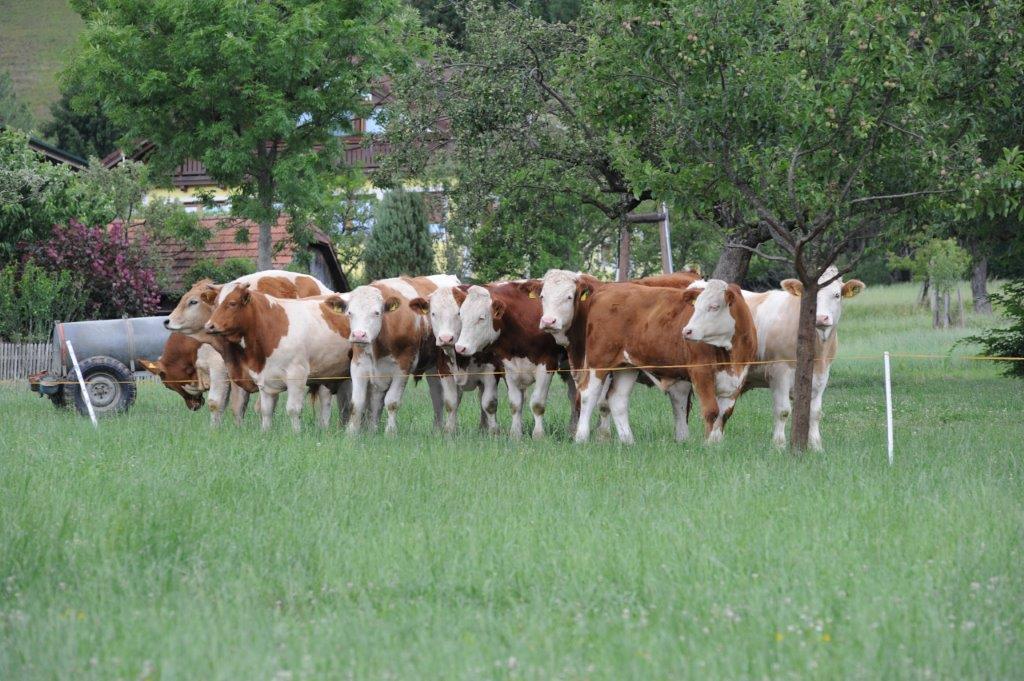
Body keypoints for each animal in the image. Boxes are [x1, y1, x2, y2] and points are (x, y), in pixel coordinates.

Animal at [204, 285, 352, 432]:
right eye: (215, 304)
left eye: (232, 303)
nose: (209, 326)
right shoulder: (265, 379)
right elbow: (266, 410)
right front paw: (265, 432)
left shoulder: (297, 374)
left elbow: (293, 409)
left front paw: (296, 433)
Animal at [338, 275, 461, 435]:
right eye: (349, 313)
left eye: (376, 313)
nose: (359, 335)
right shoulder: (358, 366)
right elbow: (357, 403)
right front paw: (352, 433)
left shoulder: (403, 368)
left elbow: (391, 402)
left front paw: (390, 432)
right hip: (433, 367)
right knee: (436, 395)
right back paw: (437, 428)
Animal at [536, 271, 757, 444]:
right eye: (542, 296)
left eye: (714, 306)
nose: (687, 331)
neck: (728, 350)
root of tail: (608, 290)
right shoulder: (701, 372)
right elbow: (711, 411)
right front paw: (707, 446)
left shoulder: (736, 378)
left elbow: (724, 414)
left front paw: (715, 444)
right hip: (599, 362)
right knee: (589, 394)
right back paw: (581, 438)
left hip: (626, 366)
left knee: (618, 399)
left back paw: (628, 441)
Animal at [741, 266, 865, 450]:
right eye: (812, 296)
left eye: (837, 295)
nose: (821, 318)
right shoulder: (779, 371)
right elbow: (783, 410)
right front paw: (779, 445)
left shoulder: (822, 375)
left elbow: (815, 413)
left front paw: (816, 446)